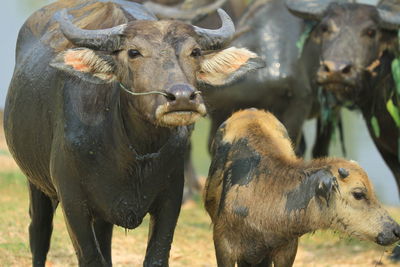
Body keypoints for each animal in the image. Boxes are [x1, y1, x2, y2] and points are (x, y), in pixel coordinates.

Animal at [4, 0, 264, 266]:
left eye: (195, 52)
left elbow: (156, 256)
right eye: (133, 52)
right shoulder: (73, 202)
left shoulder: (171, 197)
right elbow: (91, 257)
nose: (182, 97)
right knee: (39, 232)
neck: (130, 151)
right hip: (36, 182)